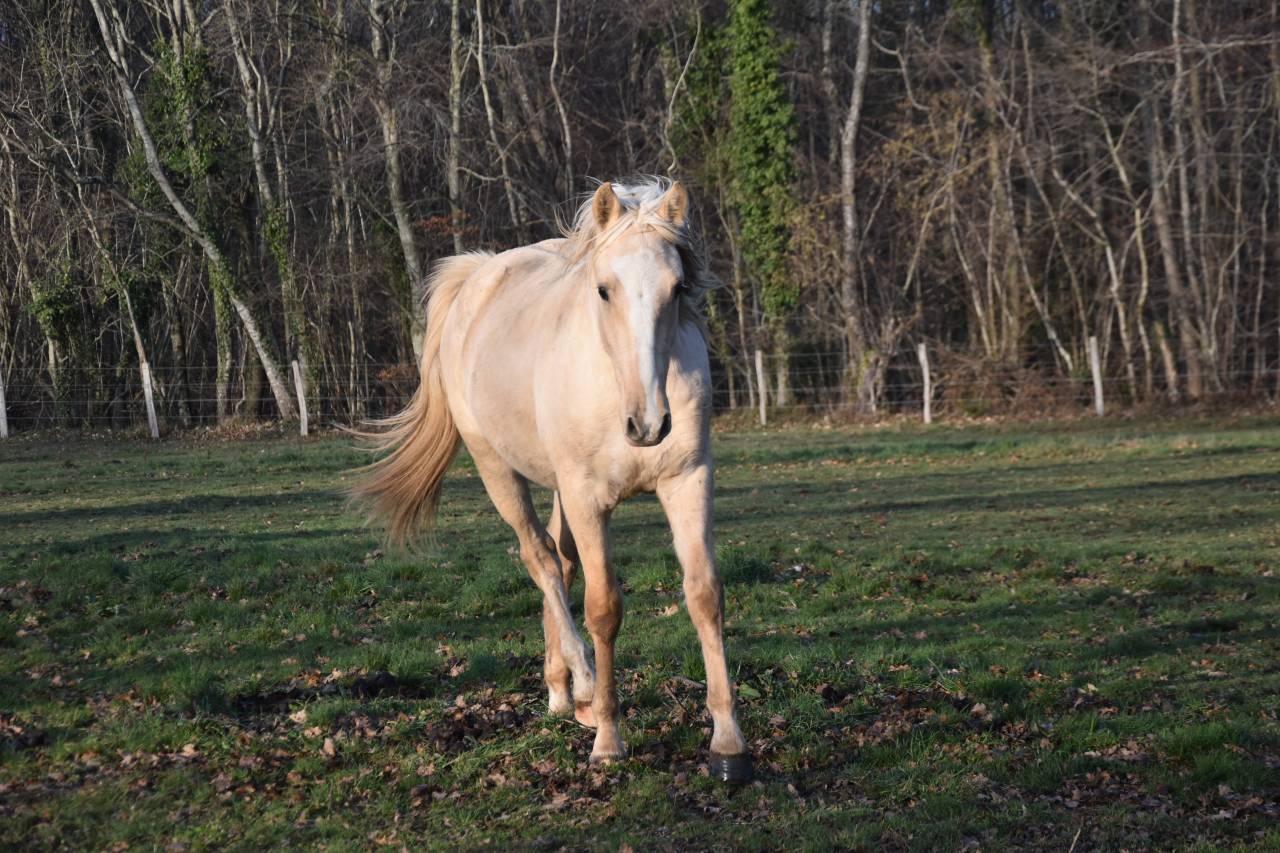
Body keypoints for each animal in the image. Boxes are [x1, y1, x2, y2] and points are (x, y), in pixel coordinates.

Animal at [352, 179, 751, 783]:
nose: (648, 424)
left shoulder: (688, 481)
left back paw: (564, 691)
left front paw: (728, 744)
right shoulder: (588, 499)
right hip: (498, 469)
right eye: (604, 290)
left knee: (558, 566)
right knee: (539, 558)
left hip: (562, 488)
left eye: (677, 287)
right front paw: (609, 739)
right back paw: (582, 685)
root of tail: (478, 275)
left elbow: (704, 595)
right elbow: (603, 608)